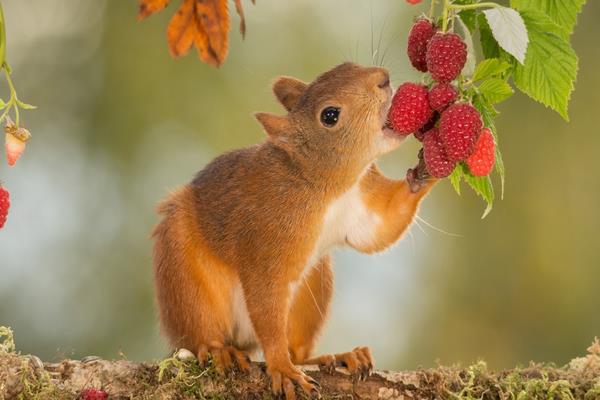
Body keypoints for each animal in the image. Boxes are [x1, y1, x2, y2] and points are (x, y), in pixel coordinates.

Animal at [152, 62, 436, 396]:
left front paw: (428, 166)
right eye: (330, 115)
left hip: (313, 286)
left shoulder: (361, 203)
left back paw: (340, 356)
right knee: (200, 330)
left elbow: (380, 229)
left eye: (346, 65)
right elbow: (267, 299)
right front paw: (281, 368)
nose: (383, 78)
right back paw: (219, 350)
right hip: (183, 274)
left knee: (298, 350)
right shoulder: (267, 236)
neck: (326, 187)